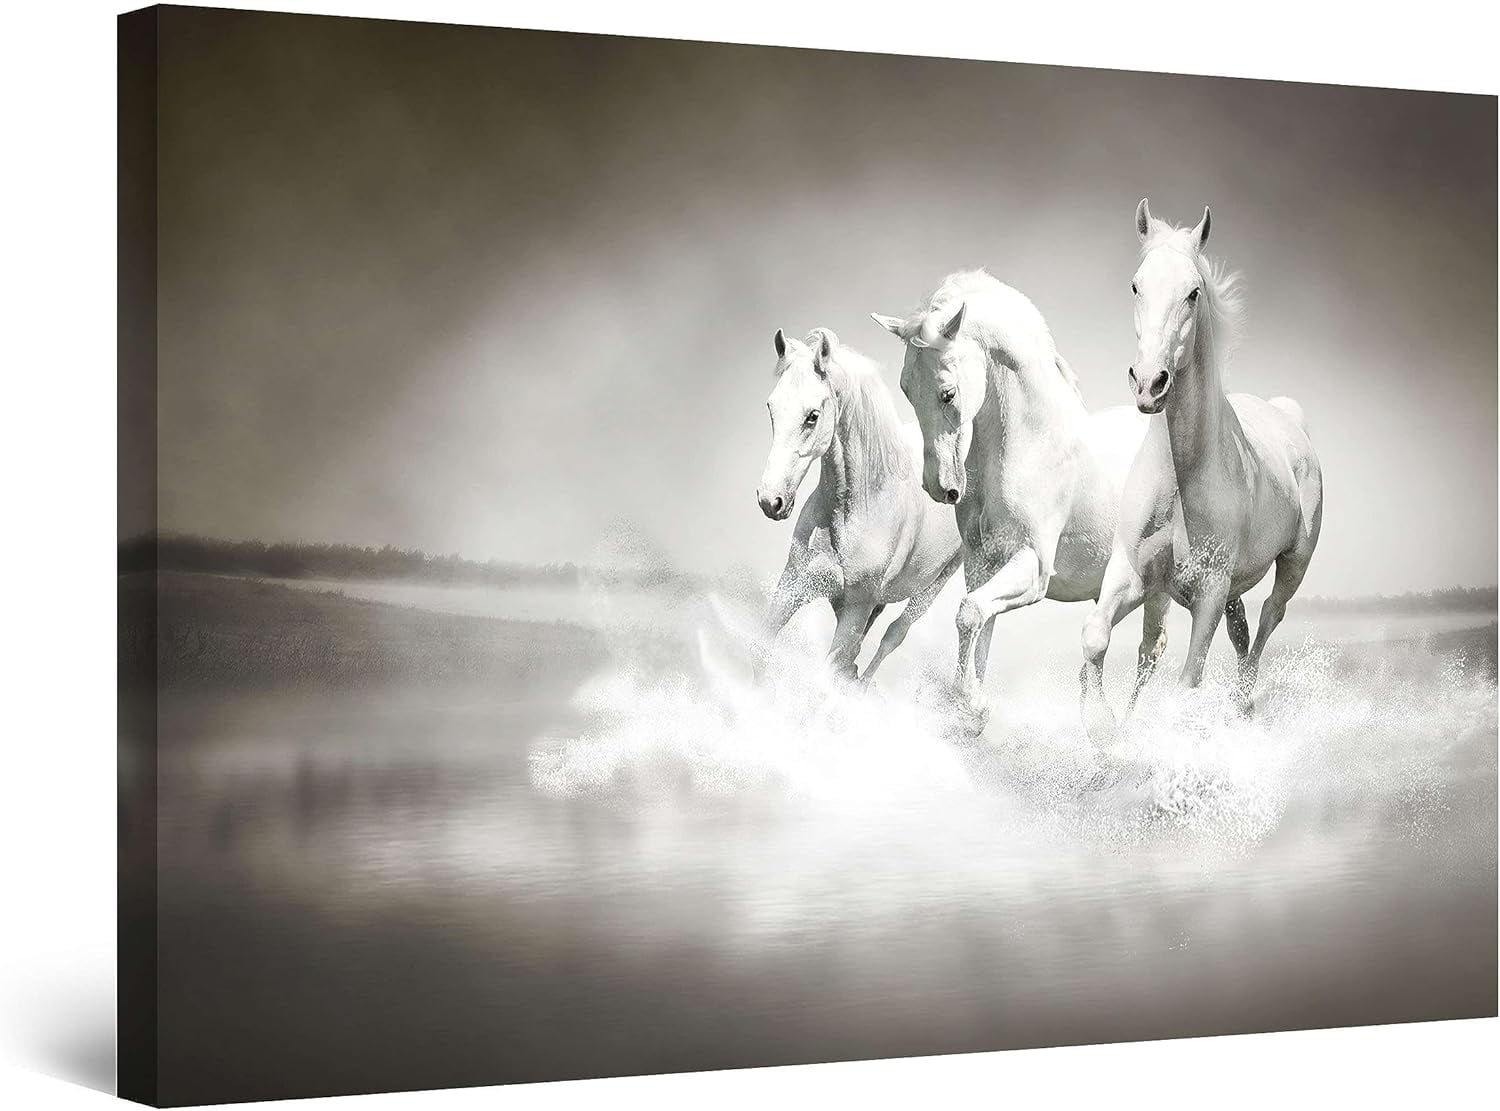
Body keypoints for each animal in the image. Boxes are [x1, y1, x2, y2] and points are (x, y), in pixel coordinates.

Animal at [755, 327, 963, 682]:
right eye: (771, 408)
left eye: (812, 416)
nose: (771, 500)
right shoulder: (792, 585)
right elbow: (760, 652)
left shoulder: (856, 608)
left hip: (936, 583)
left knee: (893, 634)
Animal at [870, 271, 1148, 728]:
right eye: (906, 390)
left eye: (948, 393)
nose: (939, 487)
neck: (1032, 444)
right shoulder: (982, 563)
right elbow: (979, 623)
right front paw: (973, 707)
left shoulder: (1032, 566)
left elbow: (969, 614)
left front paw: (970, 700)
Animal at [1079, 200, 1324, 739]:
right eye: (1136, 285)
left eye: (1193, 292)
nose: (1149, 383)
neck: (1182, 478)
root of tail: (1290, 418)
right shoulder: (1133, 574)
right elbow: (1097, 637)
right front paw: (1104, 728)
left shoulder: (1208, 593)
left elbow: (1188, 680)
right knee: (1217, 635)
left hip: (1292, 564)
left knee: (1267, 622)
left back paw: (1242, 704)